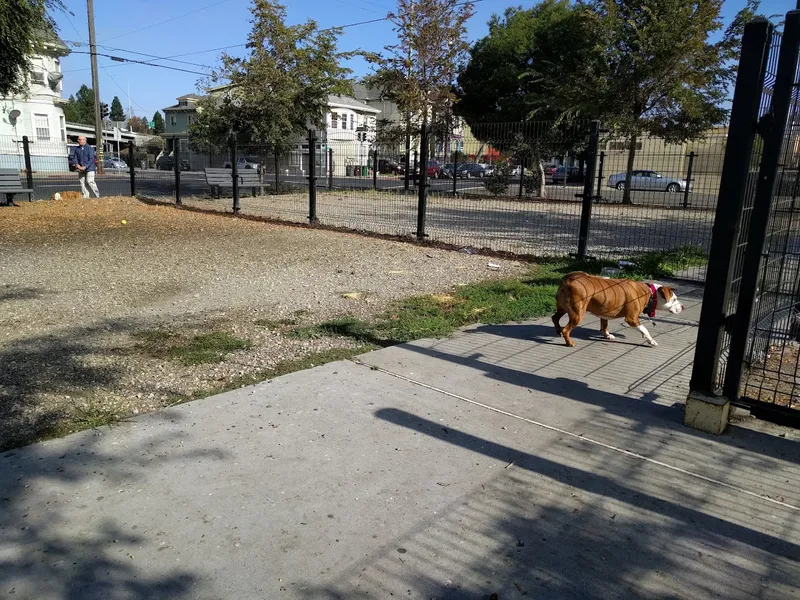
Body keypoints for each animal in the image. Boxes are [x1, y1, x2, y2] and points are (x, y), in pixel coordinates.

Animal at [552, 272, 684, 346]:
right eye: (674, 299)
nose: (683, 306)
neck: (650, 294)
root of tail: (568, 280)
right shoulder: (632, 319)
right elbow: (645, 329)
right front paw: (651, 341)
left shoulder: (604, 311)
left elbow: (604, 324)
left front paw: (607, 335)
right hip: (577, 314)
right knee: (566, 330)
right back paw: (569, 342)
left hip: (563, 308)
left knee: (555, 318)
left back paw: (558, 331)